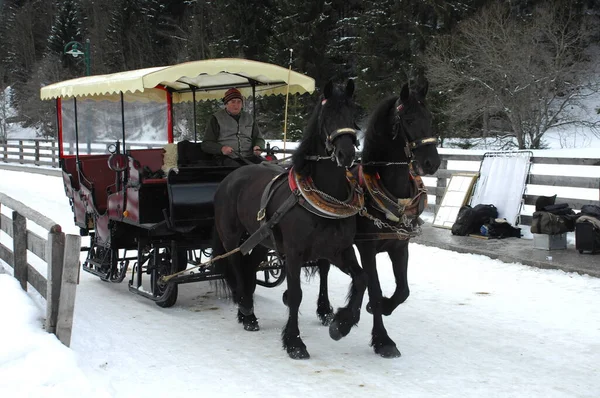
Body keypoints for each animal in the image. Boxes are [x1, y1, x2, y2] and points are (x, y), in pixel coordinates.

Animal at [213, 79, 368, 360]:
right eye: (327, 116)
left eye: (354, 113)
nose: (346, 154)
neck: (323, 195)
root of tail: (232, 175)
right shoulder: (295, 252)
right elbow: (295, 295)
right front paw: (295, 342)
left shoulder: (338, 249)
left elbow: (361, 279)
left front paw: (341, 324)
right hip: (230, 236)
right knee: (236, 266)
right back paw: (245, 309)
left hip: (260, 240)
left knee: (249, 265)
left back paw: (247, 309)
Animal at [304, 80, 440, 358]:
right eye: (409, 119)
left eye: (430, 117)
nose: (432, 162)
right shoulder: (366, 248)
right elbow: (375, 291)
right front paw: (381, 339)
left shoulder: (399, 246)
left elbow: (403, 290)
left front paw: (383, 308)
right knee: (323, 267)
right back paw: (325, 308)